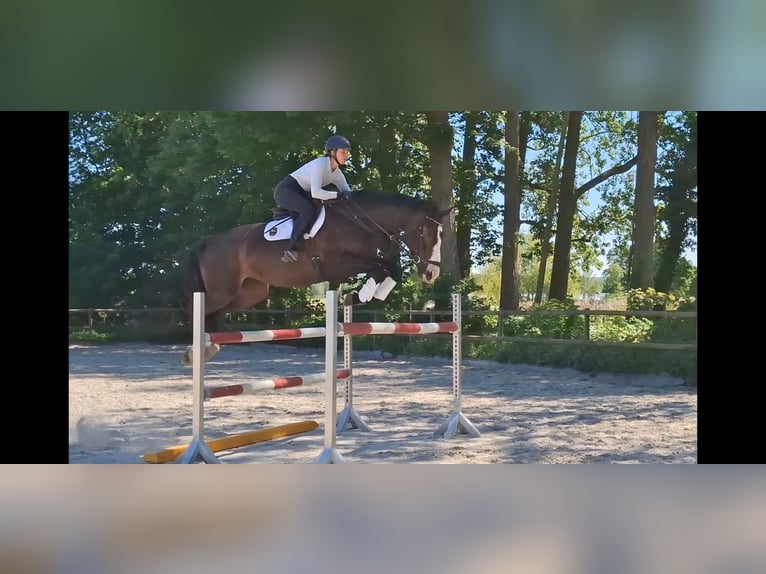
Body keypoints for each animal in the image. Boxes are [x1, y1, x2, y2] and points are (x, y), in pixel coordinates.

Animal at [180, 190, 451, 363]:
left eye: (441, 235)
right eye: (427, 234)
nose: (432, 273)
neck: (359, 222)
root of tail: (208, 242)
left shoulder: (360, 261)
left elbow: (391, 268)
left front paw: (363, 296)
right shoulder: (335, 266)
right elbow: (383, 268)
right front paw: (363, 294)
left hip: (250, 293)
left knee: (216, 313)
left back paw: (210, 346)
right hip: (222, 290)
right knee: (198, 308)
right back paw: (194, 350)